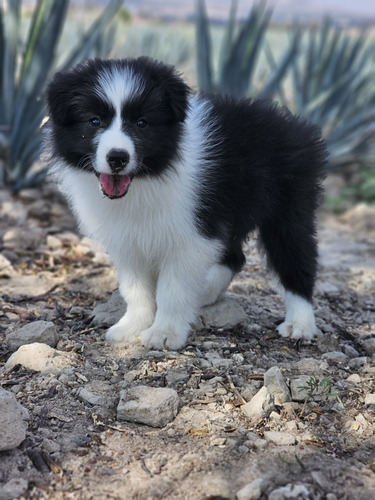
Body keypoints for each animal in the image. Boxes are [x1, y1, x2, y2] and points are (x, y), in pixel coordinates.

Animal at [46, 56, 328, 350]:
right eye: (94, 121)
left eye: (142, 123)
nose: (117, 158)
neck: (148, 178)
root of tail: (297, 126)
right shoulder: (129, 240)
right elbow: (136, 289)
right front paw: (132, 326)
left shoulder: (191, 236)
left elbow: (173, 290)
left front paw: (165, 332)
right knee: (234, 255)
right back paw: (205, 292)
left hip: (287, 207)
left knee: (295, 257)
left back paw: (300, 323)